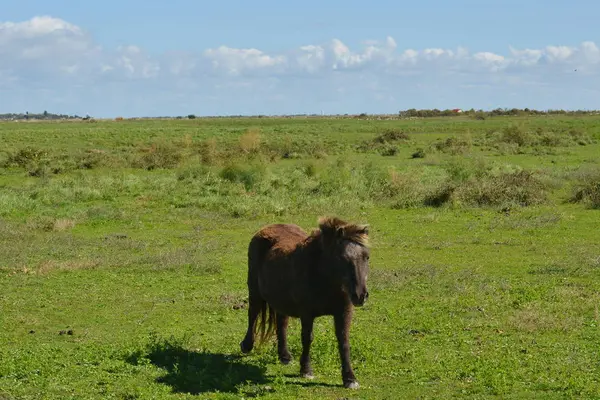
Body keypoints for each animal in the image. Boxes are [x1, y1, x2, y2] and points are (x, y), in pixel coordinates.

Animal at [239, 217, 370, 390]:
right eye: (342, 258)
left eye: (366, 257)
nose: (360, 295)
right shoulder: (307, 313)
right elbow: (307, 338)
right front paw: (306, 370)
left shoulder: (344, 312)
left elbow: (344, 342)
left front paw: (350, 378)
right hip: (255, 291)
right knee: (253, 314)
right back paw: (247, 346)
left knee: (281, 323)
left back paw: (285, 356)